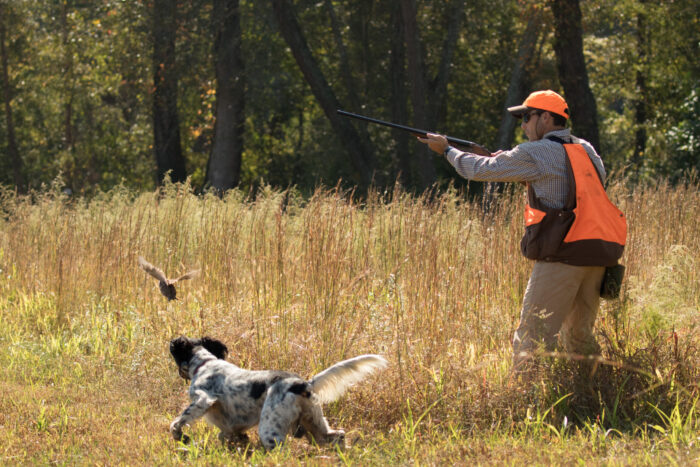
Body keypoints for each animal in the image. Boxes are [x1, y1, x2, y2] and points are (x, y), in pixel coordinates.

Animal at [170, 336, 388, 450]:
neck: (205, 363)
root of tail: (303, 384)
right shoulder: (231, 426)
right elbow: (228, 435)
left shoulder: (203, 399)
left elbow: (176, 423)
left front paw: (182, 437)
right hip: (315, 424)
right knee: (337, 435)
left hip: (270, 430)